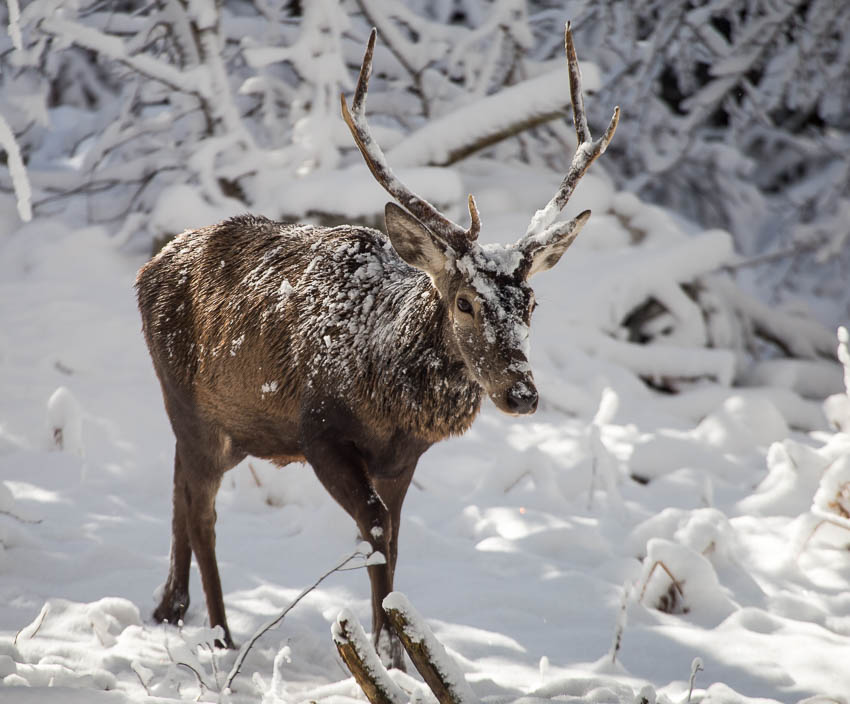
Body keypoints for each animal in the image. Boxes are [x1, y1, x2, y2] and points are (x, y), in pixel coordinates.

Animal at [137, 24, 616, 668]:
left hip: (225, 426)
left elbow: (393, 538)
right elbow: (376, 533)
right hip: (192, 408)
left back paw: (170, 608)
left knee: (178, 488)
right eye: (465, 302)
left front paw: (395, 654)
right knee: (202, 510)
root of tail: (147, 269)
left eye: (532, 303)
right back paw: (220, 633)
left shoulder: (402, 458)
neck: (390, 393)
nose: (521, 393)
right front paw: (389, 654)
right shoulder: (319, 432)